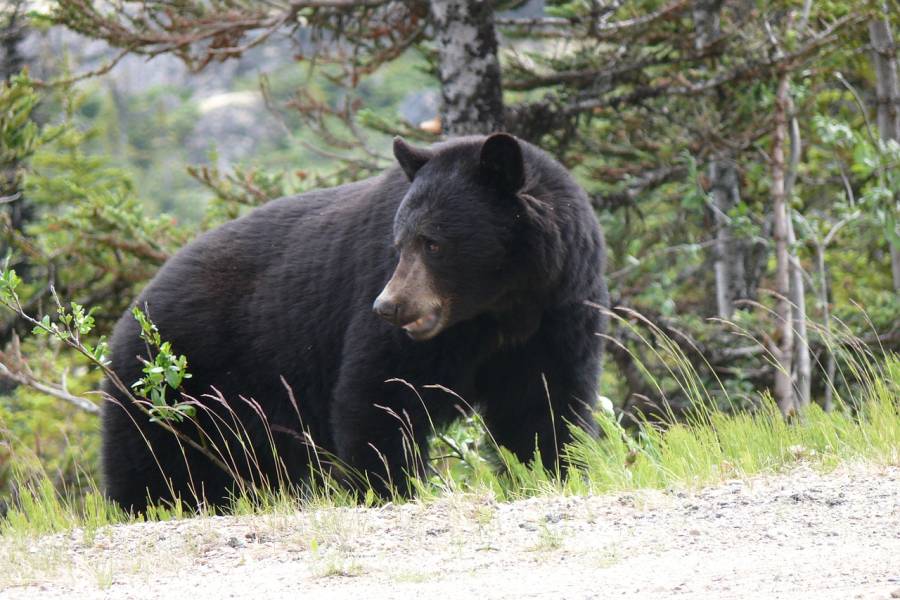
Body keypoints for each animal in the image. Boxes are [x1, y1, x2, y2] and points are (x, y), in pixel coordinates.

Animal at [102, 132, 608, 510]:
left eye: (433, 243)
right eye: (399, 242)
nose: (388, 306)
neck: (499, 309)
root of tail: (131, 314)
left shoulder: (558, 313)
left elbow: (543, 405)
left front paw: (552, 470)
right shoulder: (405, 331)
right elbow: (379, 395)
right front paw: (390, 486)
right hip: (169, 386)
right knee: (153, 465)